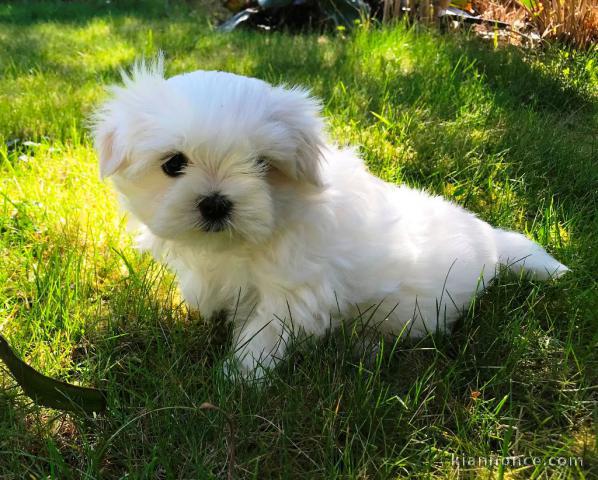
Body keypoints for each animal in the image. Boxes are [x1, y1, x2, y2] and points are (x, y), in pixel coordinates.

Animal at [91, 58, 568, 376]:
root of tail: (488, 241)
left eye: (263, 166)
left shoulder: (295, 290)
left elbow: (263, 334)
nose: (215, 202)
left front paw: (238, 378)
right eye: (173, 164)